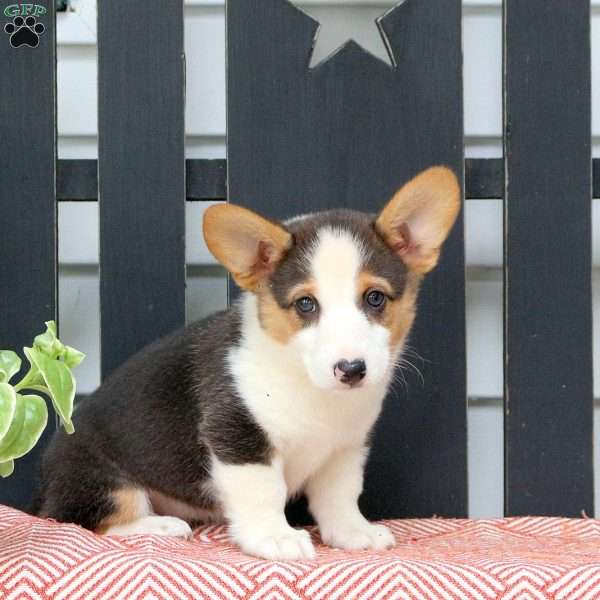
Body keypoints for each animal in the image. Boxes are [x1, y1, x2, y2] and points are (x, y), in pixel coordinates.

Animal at [32, 166, 460, 560]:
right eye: (306, 304)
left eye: (375, 298)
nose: (351, 369)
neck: (308, 385)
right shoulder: (239, 436)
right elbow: (263, 492)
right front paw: (276, 537)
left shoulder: (344, 448)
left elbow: (340, 495)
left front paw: (353, 531)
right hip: (101, 482)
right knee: (85, 519)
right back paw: (160, 525)